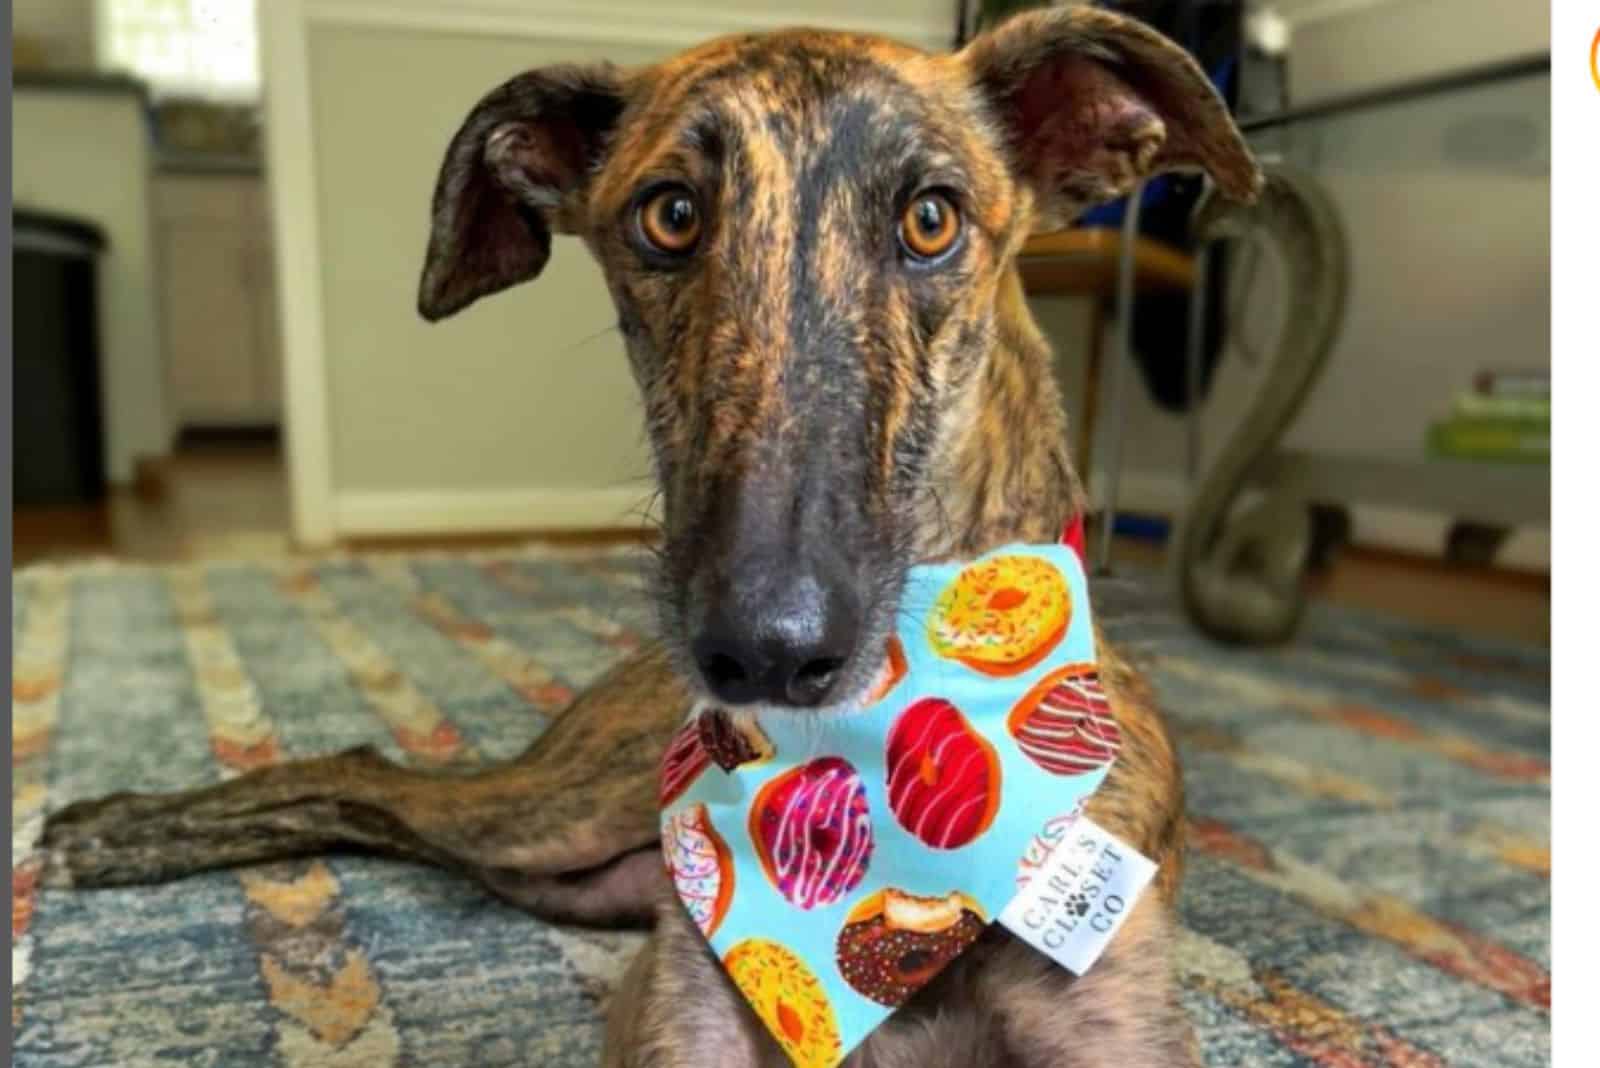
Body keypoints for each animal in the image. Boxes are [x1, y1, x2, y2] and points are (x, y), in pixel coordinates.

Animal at [43, 6, 1254, 1061]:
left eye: (931, 218)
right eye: (669, 215)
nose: (763, 650)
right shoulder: (686, 1017)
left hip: (565, 871)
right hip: (559, 816)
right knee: (374, 773)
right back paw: (116, 827)